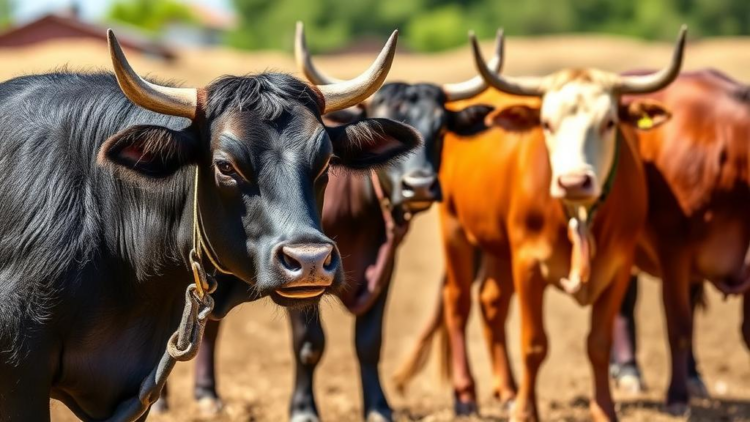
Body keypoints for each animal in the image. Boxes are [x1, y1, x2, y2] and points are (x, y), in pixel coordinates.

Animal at [153, 24, 505, 421]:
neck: (360, 218)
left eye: (440, 129)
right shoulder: (300, 273)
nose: (418, 186)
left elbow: (369, 342)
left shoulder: (384, 269)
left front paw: (379, 408)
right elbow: (310, 344)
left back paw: (207, 395)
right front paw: (304, 409)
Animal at [395, 27, 687, 422]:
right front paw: (525, 411)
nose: (574, 181)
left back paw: (506, 390)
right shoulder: (528, 264)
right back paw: (467, 396)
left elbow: (599, 343)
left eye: (609, 123)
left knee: (492, 304)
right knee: (458, 305)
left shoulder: (618, 268)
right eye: (547, 124)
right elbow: (534, 343)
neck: (578, 216)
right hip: (455, 232)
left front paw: (604, 410)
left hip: (498, 248)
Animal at [609, 69, 750, 414]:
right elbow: (678, 325)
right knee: (624, 305)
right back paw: (629, 370)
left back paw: (694, 376)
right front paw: (675, 397)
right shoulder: (673, 247)